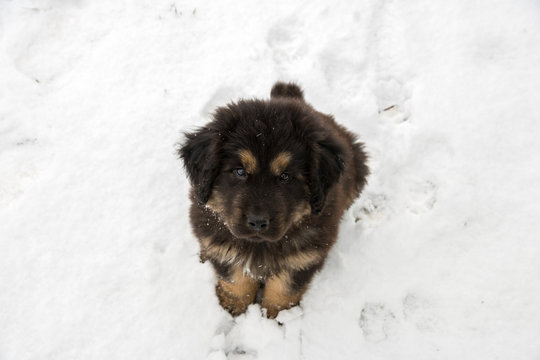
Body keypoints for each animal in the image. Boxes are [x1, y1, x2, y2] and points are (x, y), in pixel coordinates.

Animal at [179, 82, 370, 318]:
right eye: (240, 171)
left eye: (285, 176)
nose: (257, 222)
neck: (260, 245)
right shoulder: (219, 243)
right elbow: (235, 278)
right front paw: (233, 305)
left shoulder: (305, 256)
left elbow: (283, 289)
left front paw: (275, 315)